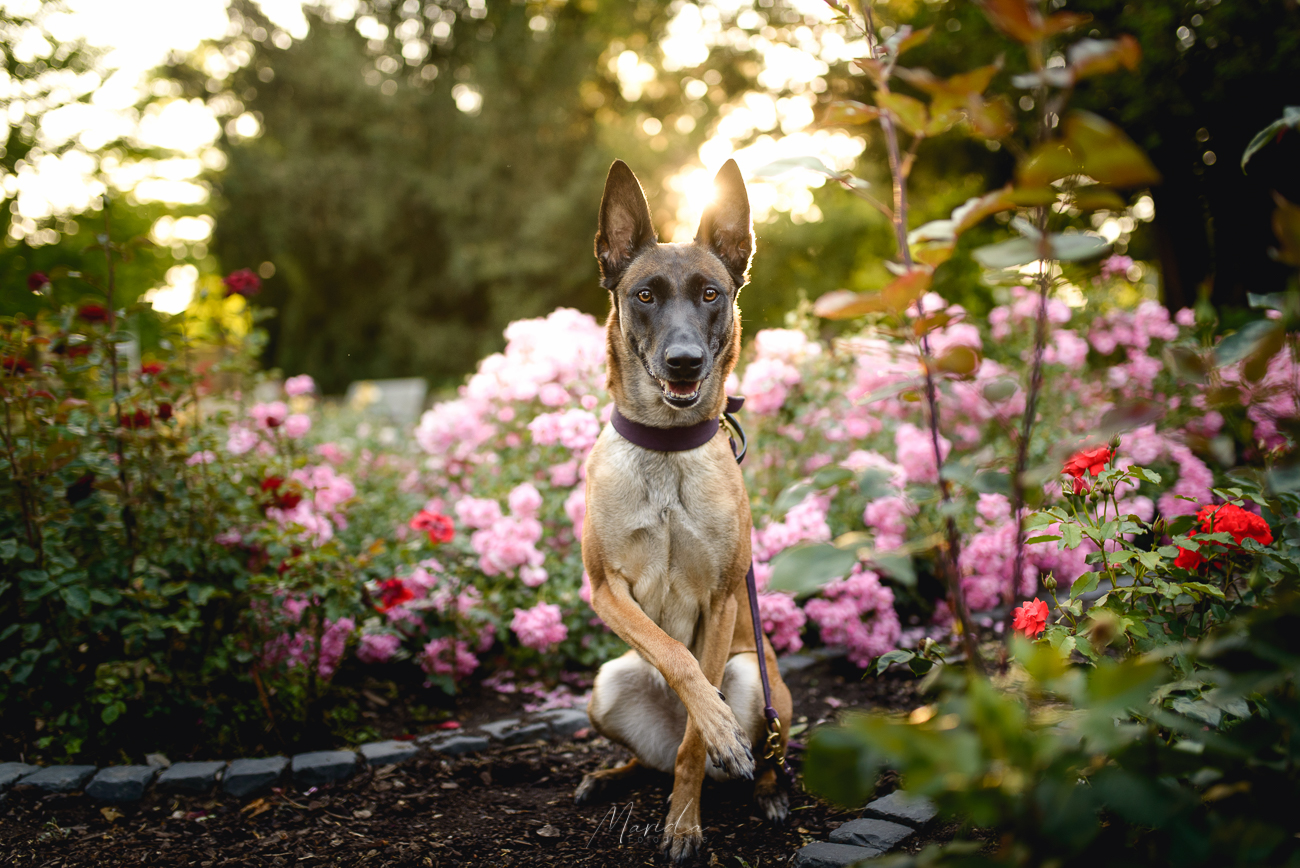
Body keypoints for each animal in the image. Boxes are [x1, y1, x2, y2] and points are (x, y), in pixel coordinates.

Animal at [577, 161, 790, 862]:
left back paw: (767, 790)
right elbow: (674, 654)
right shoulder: (606, 591)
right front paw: (711, 726)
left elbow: (698, 736)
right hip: (606, 687)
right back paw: (608, 776)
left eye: (710, 294)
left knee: (752, 753)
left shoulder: (723, 602)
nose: (684, 362)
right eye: (644, 295)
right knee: (649, 760)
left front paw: (685, 821)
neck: (665, 450)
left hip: (756, 677)